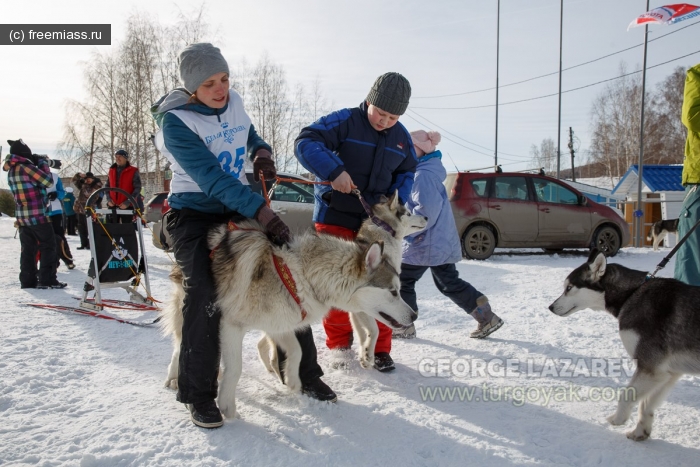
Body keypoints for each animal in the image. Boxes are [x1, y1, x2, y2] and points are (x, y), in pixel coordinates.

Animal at [548, 250, 696, 440]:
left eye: (569, 288)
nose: (550, 307)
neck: (631, 294)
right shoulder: (667, 372)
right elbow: (645, 404)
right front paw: (640, 431)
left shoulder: (650, 368)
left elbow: (627, 395)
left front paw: (618, 419)